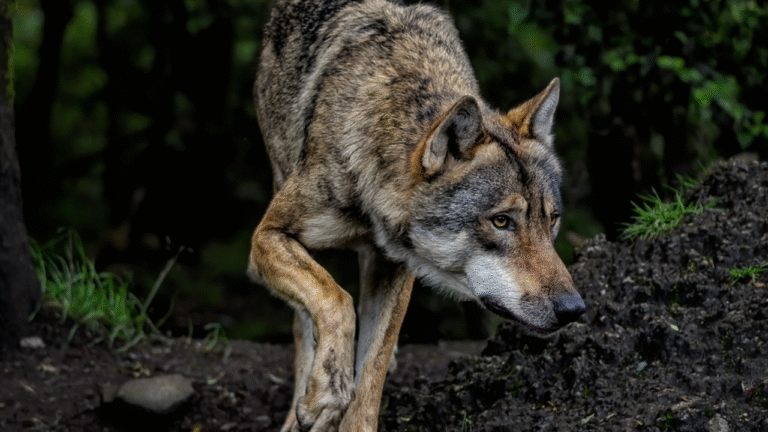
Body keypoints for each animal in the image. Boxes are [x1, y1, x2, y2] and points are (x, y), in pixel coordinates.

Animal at [248, 0, 585, 430]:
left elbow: (370, 374)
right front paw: (326, 392)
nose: (573, 309)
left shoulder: (395, 266)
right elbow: (335, 299)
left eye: (551, 219)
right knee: (305, 318)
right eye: (501, 221)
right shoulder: (267, 236)